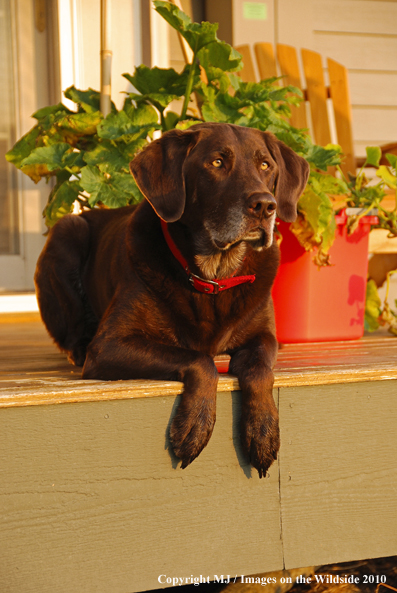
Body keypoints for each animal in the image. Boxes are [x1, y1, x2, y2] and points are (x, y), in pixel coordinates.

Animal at [34, 123, 310, 476]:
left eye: (265, 165)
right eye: (217, 162)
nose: (265, 205)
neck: (213, 274)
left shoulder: (263, 337)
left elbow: (260, 370)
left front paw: (263, 432)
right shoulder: (109, 345)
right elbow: (200, 360)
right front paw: (195, 425)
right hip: (67, 230)